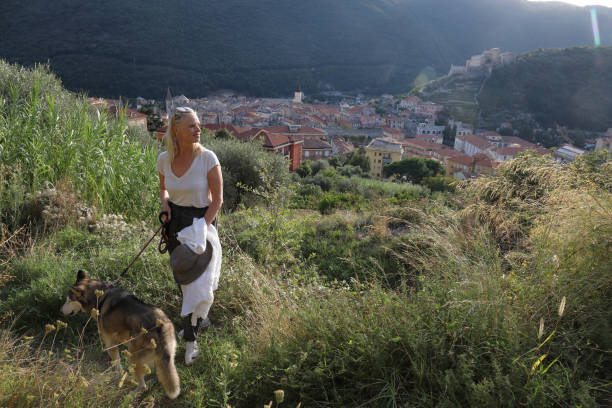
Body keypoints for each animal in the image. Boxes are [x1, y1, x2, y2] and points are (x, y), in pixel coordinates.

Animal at [60, 270, 179, 400]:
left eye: (69, 300)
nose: (60, 312)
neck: (100, 297)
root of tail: (159, 326)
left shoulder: (110, 344)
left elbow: (117, 366)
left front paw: (119, 378)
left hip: (134, 357)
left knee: (143, 386)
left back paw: (131, 395)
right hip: (164, 359)